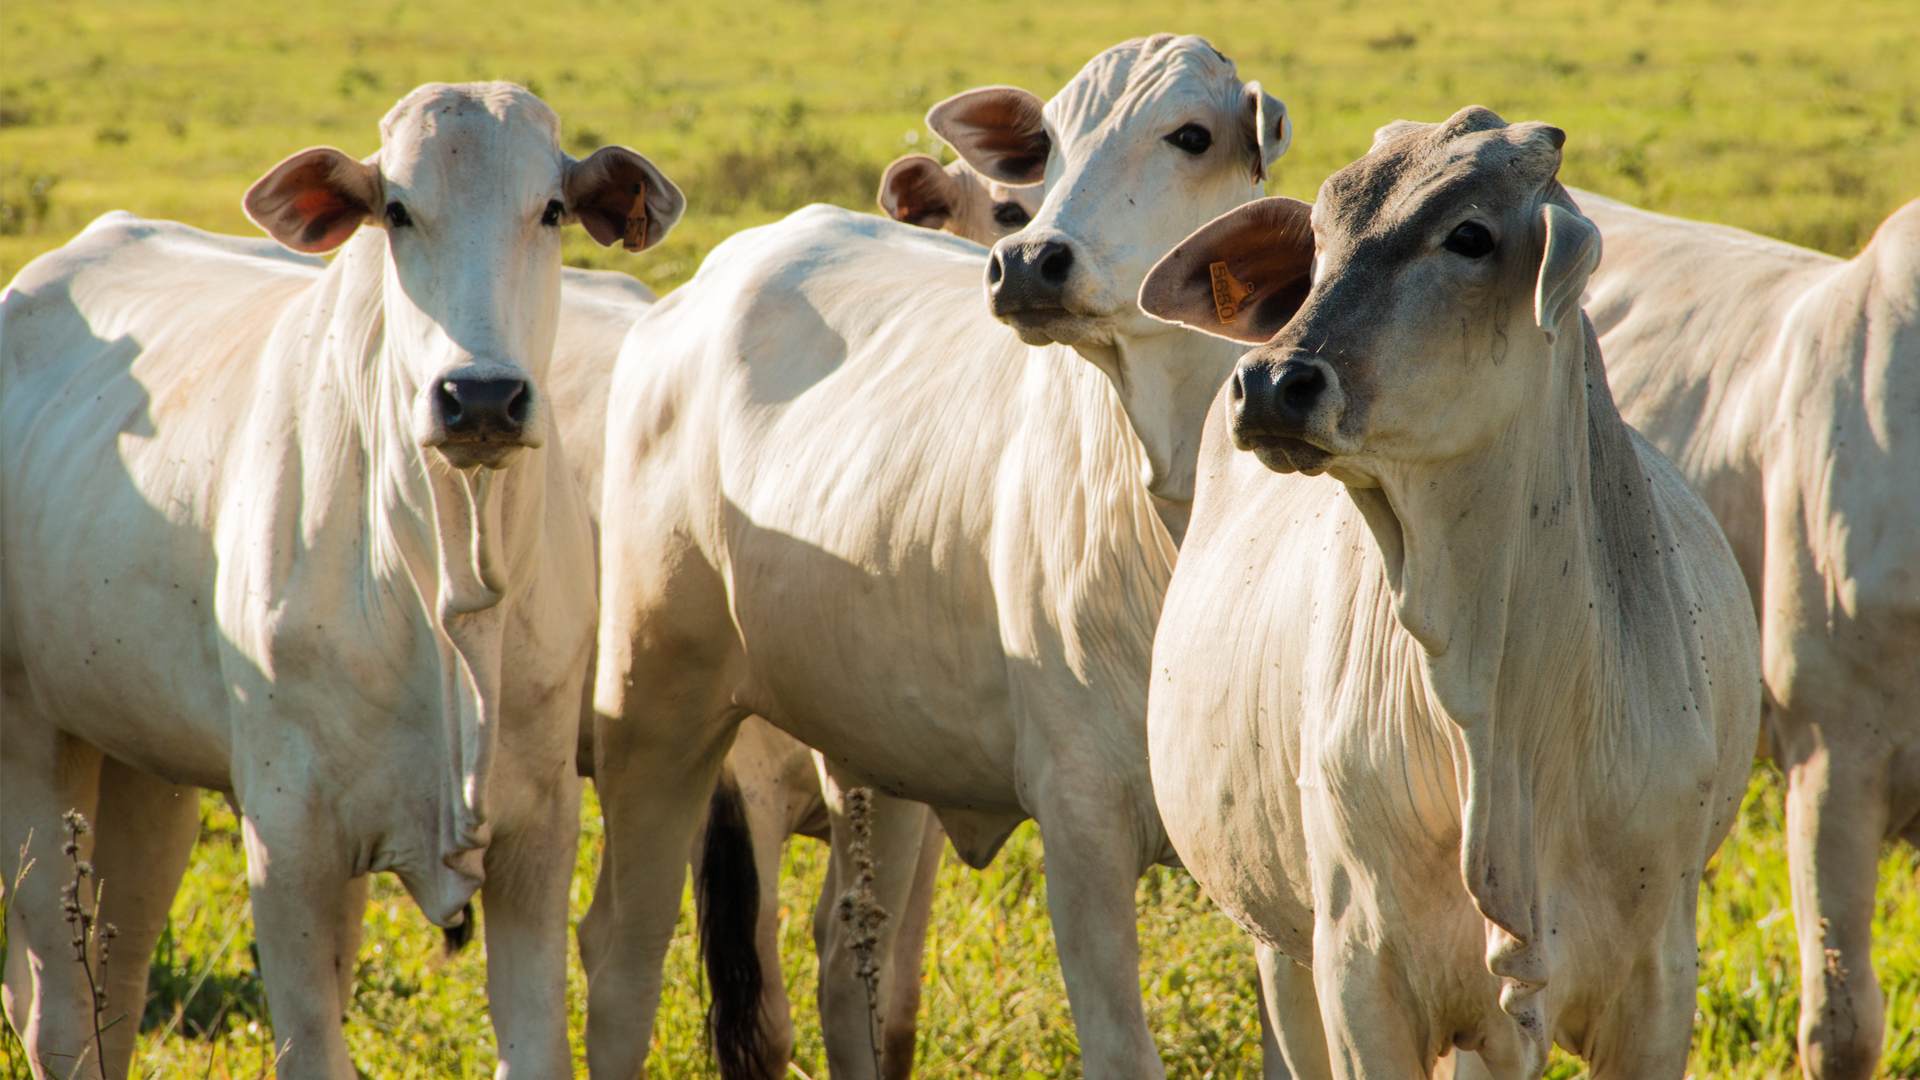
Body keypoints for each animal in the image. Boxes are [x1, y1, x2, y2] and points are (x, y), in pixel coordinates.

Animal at [0, 82, 687, 1076]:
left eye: (553, 209)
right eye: (396, 211)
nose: (480, 398)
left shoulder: (539, 833)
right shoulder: (288, 847)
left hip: (143, 764)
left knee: (114, 988)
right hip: (28, 734)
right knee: (58, 1009)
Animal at [572, 33, 1290, 1076]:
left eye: (1191, 135)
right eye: (1050, 142)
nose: (1028, 263)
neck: (1175, 502)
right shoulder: (1082, 823)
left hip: (875, 754)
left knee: (852, 970)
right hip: (656, 702)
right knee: (625, 956)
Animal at [1128, 107, 1758, 1076]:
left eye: (1470, 236)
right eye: (1318, 238)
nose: (1271, 381)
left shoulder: (1657, 983)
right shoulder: (1360, 972)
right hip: (1281, 945)